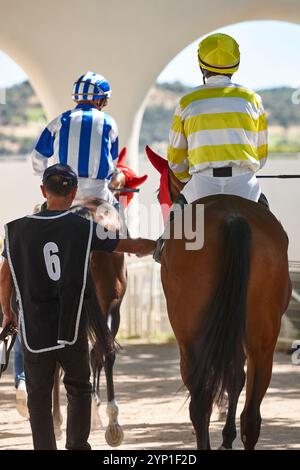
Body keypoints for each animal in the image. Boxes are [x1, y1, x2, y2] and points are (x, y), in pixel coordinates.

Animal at [146, 147, 292, 452]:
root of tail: (233, 218)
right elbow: (236, 377)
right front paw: (227, 437)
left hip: (190, 337)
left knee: (200, 404)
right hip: (263, 339)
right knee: (251, 415)